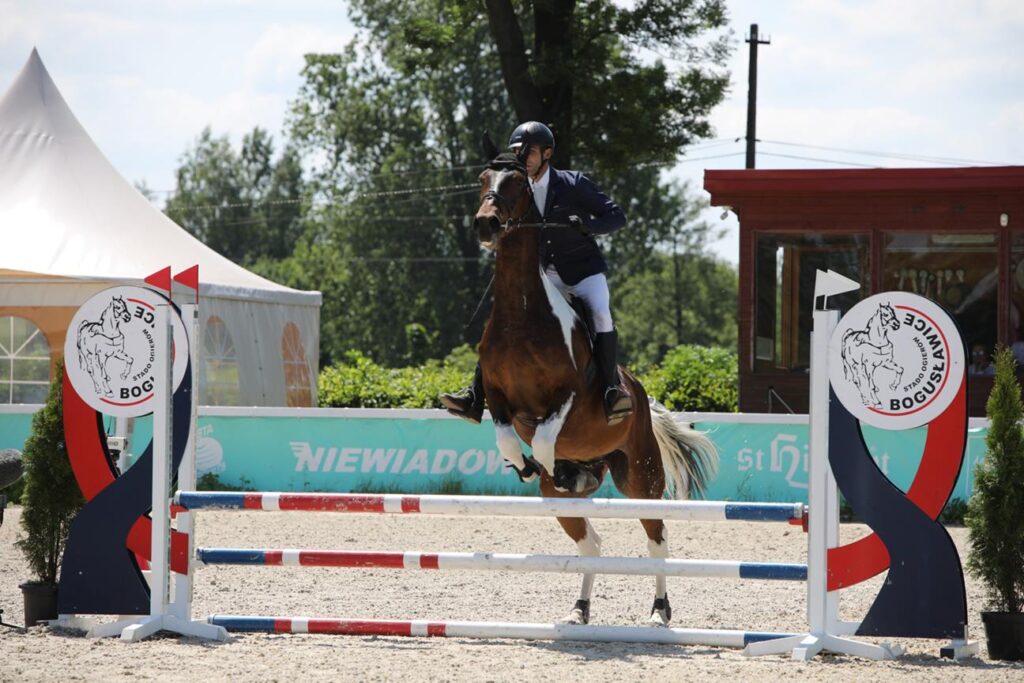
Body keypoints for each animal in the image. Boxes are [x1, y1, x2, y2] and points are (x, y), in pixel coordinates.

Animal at [473, 152, 718, 626]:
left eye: (516, 183)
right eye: (483, 179)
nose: (485, 225)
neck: (520, 314)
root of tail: (641, 396)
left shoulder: (564, 396)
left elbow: (545, 436)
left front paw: (543, 461)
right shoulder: (497, 398)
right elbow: (509, 440)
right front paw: (526, 466)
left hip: (641, 477)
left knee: (657, 538)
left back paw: (659, 611)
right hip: (563, 496)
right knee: (591, 542)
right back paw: (579, 607)